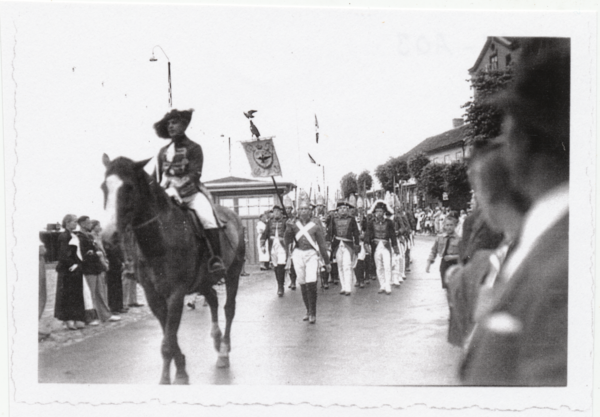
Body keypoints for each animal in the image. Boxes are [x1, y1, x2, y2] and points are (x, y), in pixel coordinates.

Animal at [101, 154, 246, 384]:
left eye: (130, 187)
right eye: (103, 187)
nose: (108, 237)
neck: (160, 239)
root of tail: (233, 216)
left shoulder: (176, 294)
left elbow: (168, 342)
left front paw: (170, 378)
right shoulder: (153, 296)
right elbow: (169, 336)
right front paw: (181, 369)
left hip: (233, 273)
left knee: (228, 308)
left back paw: (223, 351)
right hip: (203, 281)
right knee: (213, 299)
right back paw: (216, 339)